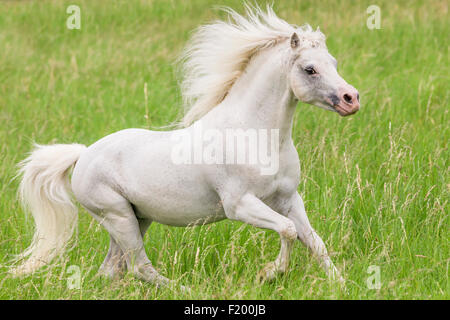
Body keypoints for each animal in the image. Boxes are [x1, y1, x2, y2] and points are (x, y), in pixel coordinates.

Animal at [12, 5, 360, 288]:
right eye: (309, 69)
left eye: (334, 62)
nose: (351, 99)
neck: (255, 135)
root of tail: (83, 154)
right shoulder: (239, 205)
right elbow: (288, 231)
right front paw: (269, 274)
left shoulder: (288, 199)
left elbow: (314, 241)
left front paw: (341, 284)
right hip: (118, 216)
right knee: (139, 267)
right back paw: (185, 290)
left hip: (135, 218)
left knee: (112, 270)